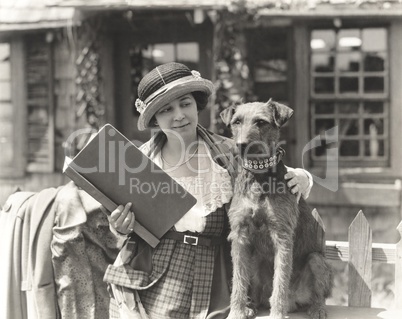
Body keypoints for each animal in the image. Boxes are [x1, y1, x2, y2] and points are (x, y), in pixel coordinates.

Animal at [220, 99, 332, 318]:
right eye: (236, 122)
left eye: (261, 122)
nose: (241, 145)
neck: (258, 176)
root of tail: (294, 302)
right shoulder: (239, 235)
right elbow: (238, 281)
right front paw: (236, 312)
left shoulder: (282, 235)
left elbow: (280, 282)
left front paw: (277, 313)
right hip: (254, 260)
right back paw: (250, 306)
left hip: (316, 260)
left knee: (317, 294)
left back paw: (317, 309)